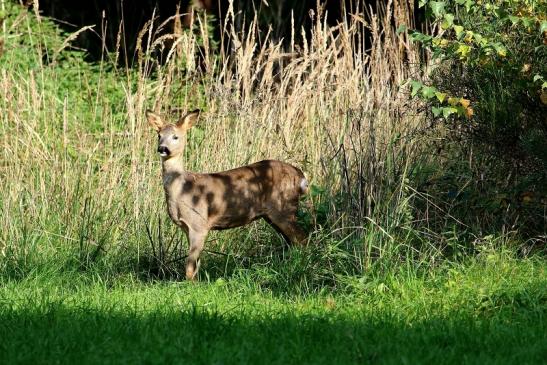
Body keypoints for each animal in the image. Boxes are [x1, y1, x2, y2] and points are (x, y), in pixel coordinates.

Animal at [146, 108, 308, 278]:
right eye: (159, 135)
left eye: (175, 136)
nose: (162, 149)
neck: (183, 190)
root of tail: (300, 176)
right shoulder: (186, 227)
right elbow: (196, 264)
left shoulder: (199, 223)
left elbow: (190, 265)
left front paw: (188, 282)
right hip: (272, 215)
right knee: (291, 242)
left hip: (283, 207)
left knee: (302, 239)